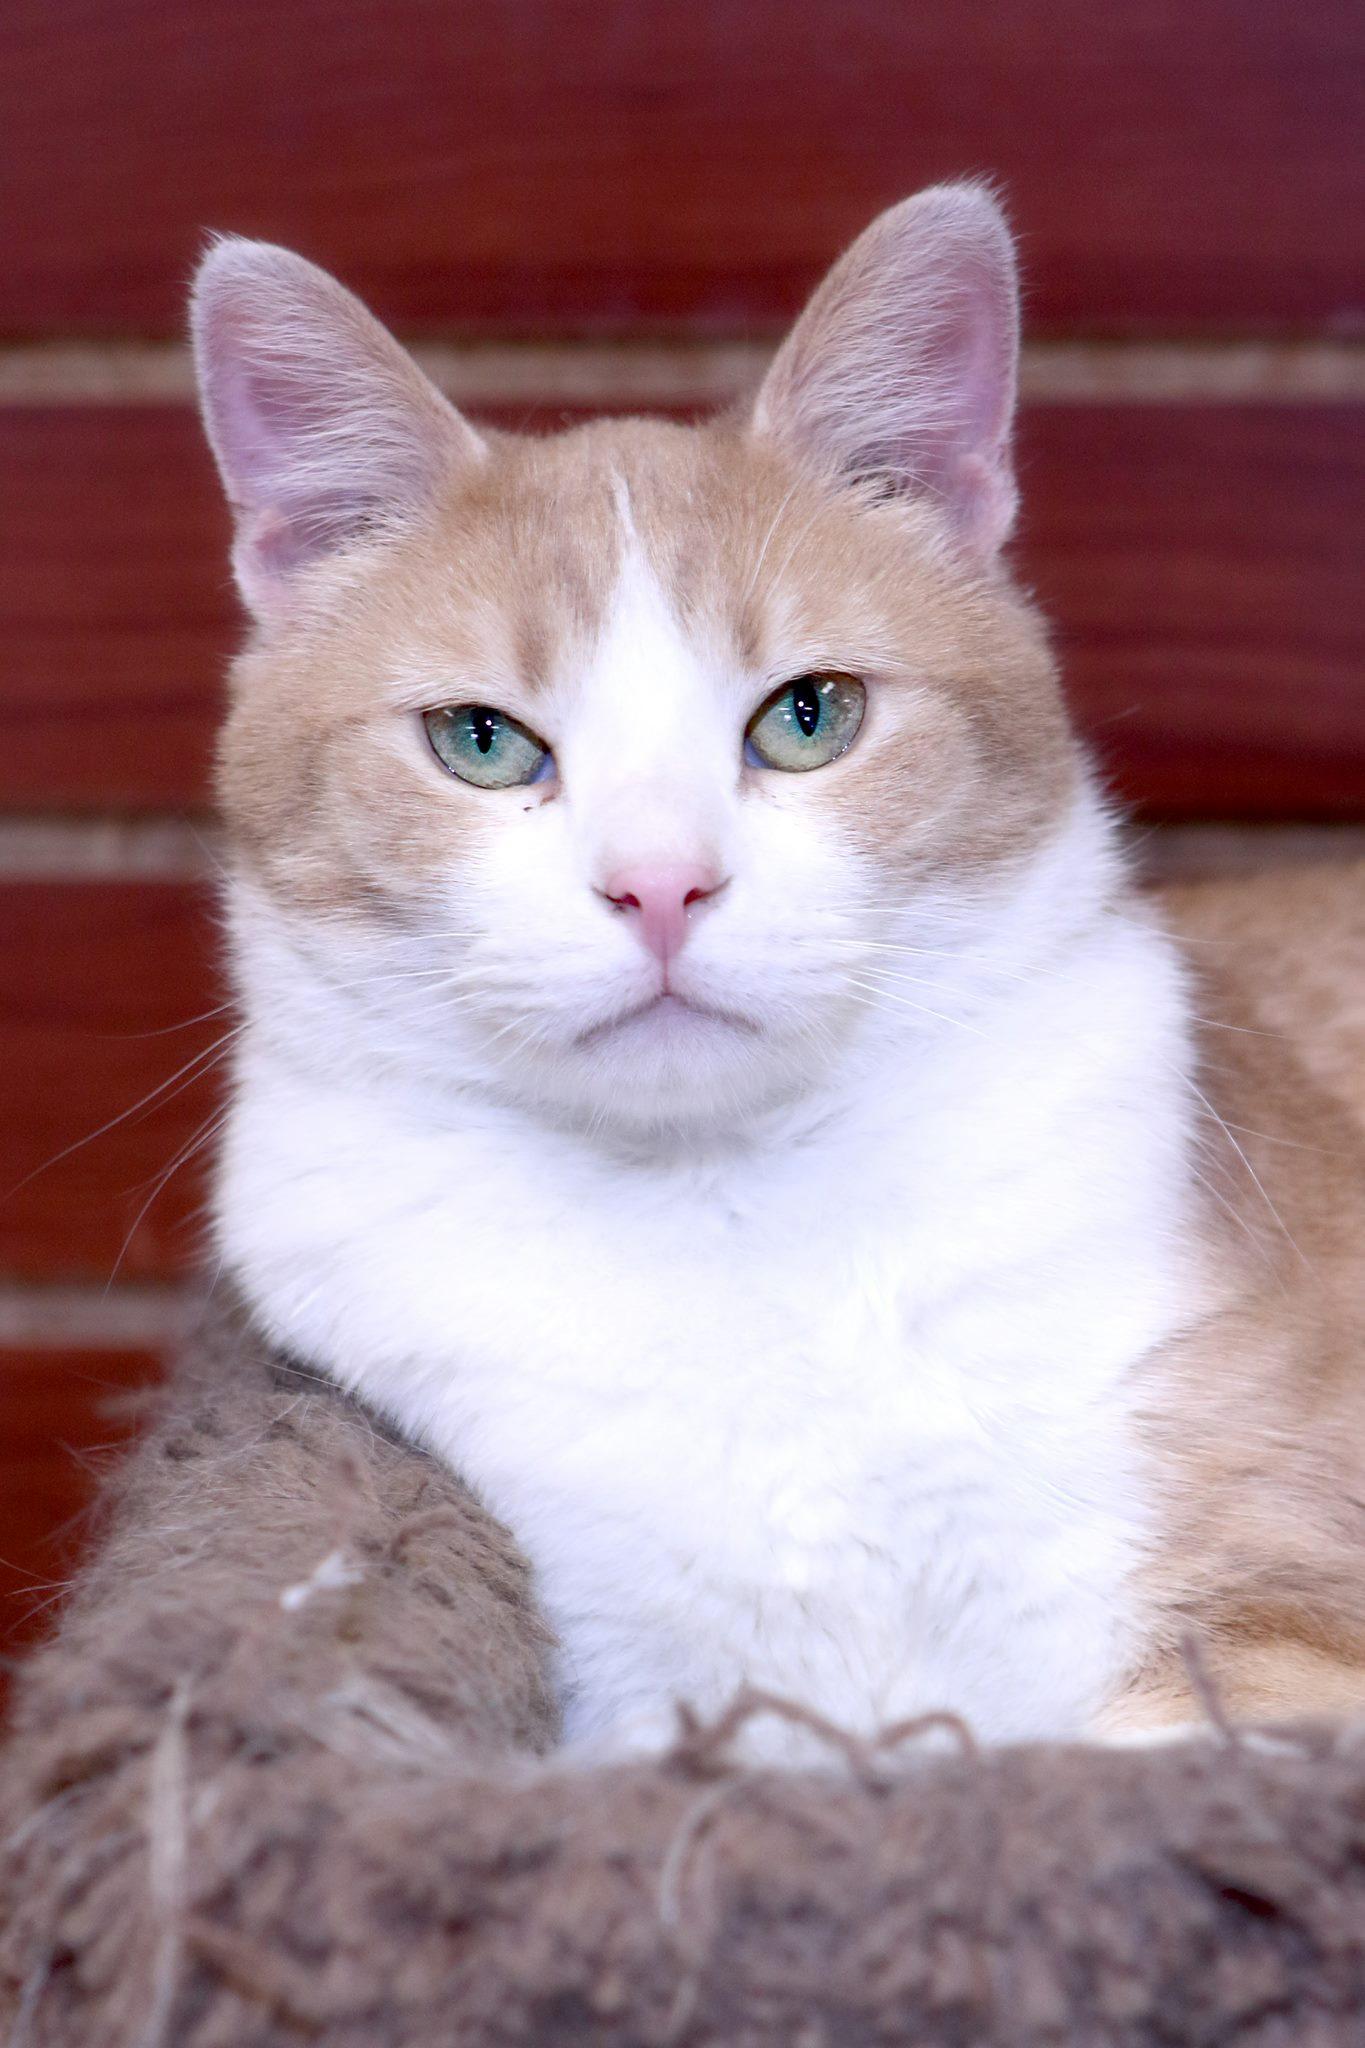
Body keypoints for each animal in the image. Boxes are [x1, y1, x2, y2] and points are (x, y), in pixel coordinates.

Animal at [192, 184, 1365, 1769]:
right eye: (483, 742)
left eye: (809, 717)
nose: (661, 885)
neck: (726, 1218)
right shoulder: (632, 1691)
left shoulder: (1267, 1625)